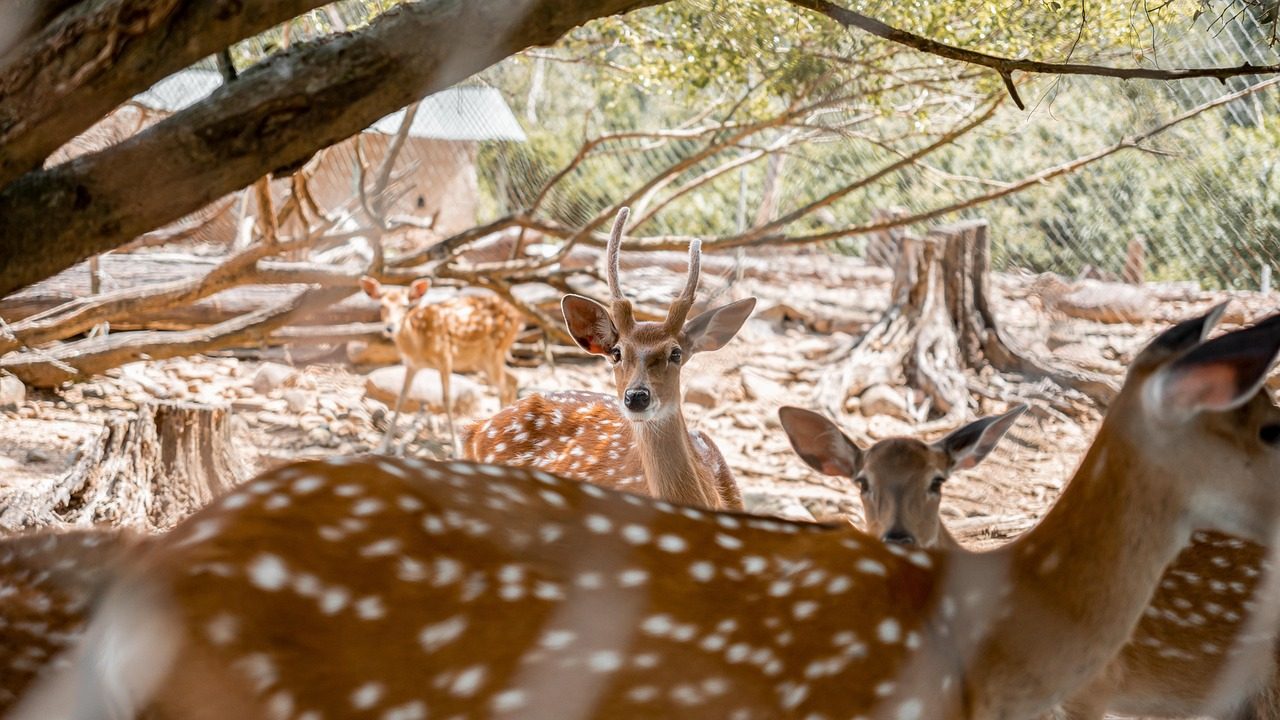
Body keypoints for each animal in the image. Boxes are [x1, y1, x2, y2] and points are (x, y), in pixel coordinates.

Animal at [360, 276, 526, 454]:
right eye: (382, 305)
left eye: (405, 305)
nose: (390, 328)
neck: (418, 344)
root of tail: (518, 315)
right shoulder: (411, 364)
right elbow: (401, 398)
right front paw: (381, 448)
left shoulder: (445, 356)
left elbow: (447, 399)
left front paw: (456, 450)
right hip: (481, 359)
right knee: (512, 378)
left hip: (495, 350)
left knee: (503, 386)